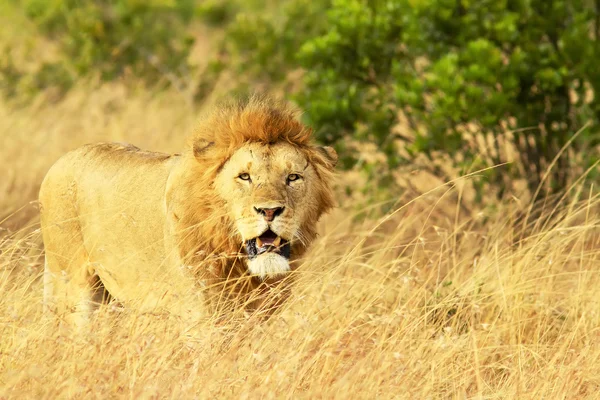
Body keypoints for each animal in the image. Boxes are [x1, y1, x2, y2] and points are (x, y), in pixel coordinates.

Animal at [38, 96, 338, 324]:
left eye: (293, 178)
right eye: (245, 177)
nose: (269, 211)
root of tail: (59, 162)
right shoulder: (199, 312)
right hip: (72, 286)